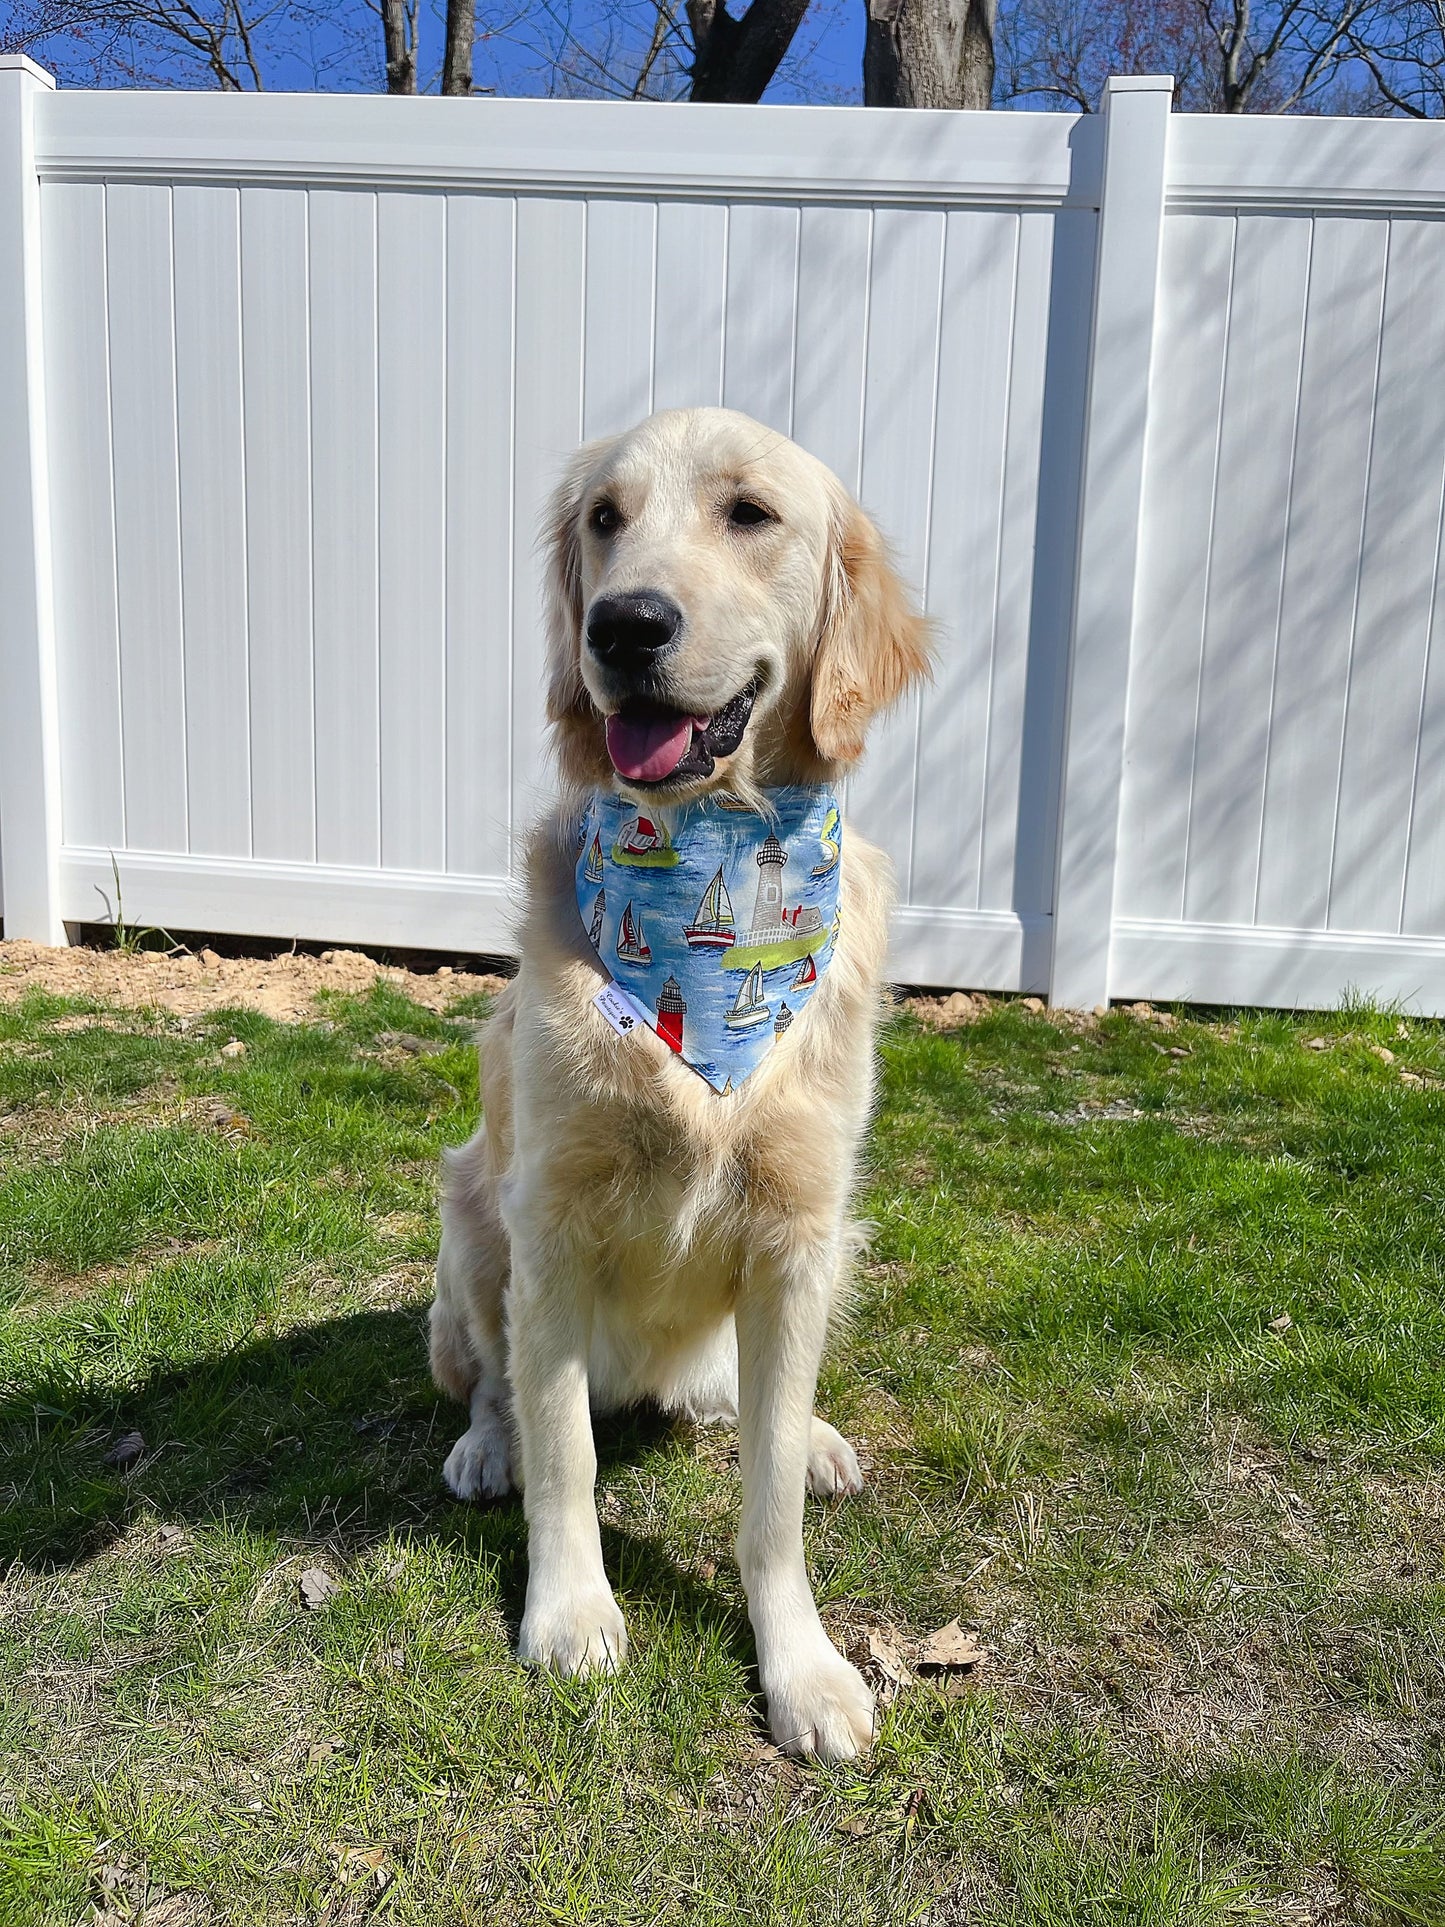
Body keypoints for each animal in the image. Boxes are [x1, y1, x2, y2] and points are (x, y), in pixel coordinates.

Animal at [423, 406, 932, 1765]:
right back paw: (482, 1446)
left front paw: (802, 1666)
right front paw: (568, 1612)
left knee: (739, 1402)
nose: (623, 626)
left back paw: (805, 1432)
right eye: (605, 519)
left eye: (748, 513)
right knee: (488, 1376)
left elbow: (767, 1506)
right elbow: (564, 1454)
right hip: (469, 1222)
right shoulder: (548, 1225)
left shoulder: (799, 1229)